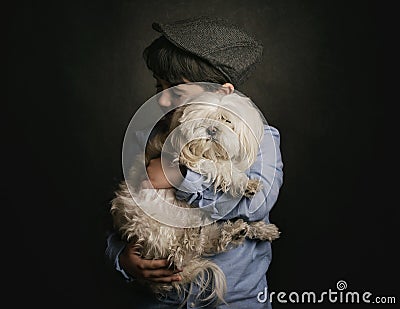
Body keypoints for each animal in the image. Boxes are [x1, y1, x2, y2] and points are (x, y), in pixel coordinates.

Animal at [109, 91, 278, 306]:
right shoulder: (184, 159)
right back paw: (194, 239)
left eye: (226, 120)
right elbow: (218, 166)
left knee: (210, 239)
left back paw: (241, 231)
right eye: (204, 118)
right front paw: (243, 182)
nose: (212, 129)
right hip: (152, 226)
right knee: (179, 255)